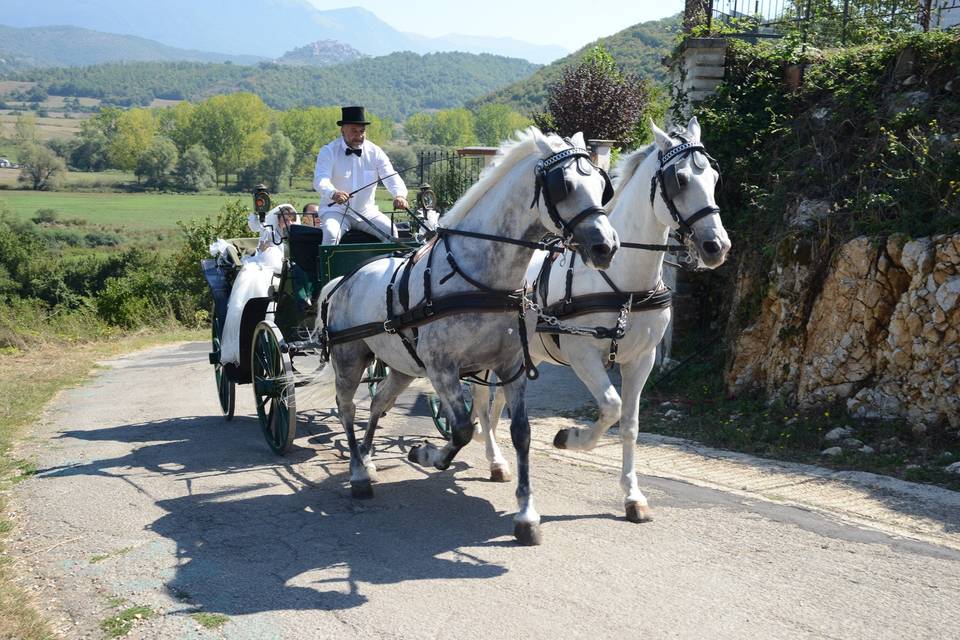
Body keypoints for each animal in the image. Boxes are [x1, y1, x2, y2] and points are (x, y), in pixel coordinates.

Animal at [312, 129, 620, 544]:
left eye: (602, 187)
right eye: (565, 185)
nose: (606, 246)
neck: (478, 277)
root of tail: (345, 278)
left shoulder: (511, 367)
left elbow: (519, 433)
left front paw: (526, 514)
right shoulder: (442, 369)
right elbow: (461, 429)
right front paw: (426, 454)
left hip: (401, 366)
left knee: (377, 405)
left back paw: (369, 457)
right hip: (349, 359)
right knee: (346, 408)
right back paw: (359, 473)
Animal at [476, 117, 732, 524]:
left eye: (714, 176)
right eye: (679, 179)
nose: (716, 247)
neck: (622, 281)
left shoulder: (641, 360)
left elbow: (629, 424)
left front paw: (633, 496)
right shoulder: (582, 354)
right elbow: (610, 406)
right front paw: (569, 438)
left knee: (497, 403)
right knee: (483, 406)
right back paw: (493, 459)